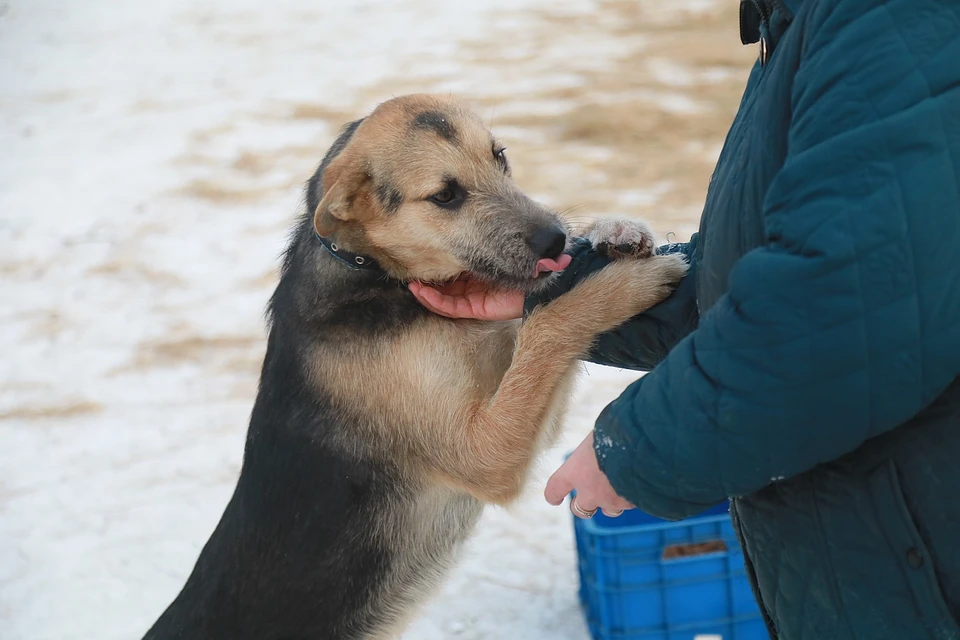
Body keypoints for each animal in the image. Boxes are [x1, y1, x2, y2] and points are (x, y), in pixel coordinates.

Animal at [141, 95, 684, 640]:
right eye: (445, 196)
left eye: (500, 156)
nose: (554, 240)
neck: (379, 276)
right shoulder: (485, 451)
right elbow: (549, 325)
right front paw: (621, 285)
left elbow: (535, 327)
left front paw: (612, 231)